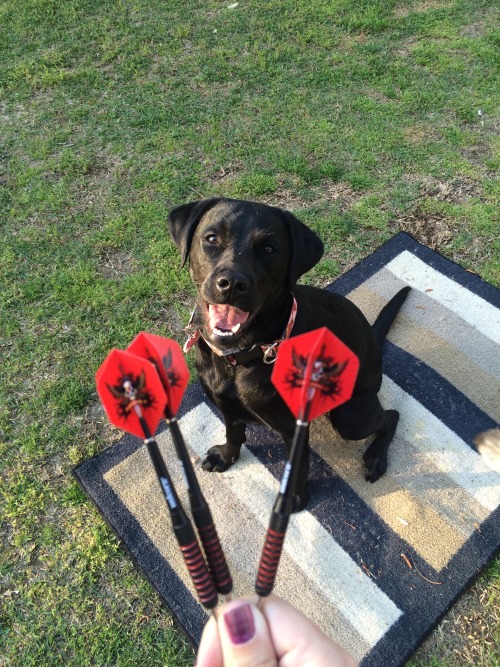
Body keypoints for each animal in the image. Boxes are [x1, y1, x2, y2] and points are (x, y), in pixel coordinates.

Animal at [169, 198, 410, 512]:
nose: (232, 283)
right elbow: (233, 433)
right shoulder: (227, 407)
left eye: (269, 249)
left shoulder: (293, 430)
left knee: (390, 416)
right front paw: (226, 456)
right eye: (211, 238)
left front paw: (294, 500)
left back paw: (376, 457)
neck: (243, 358)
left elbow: (296, 468)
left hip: (350, 416)